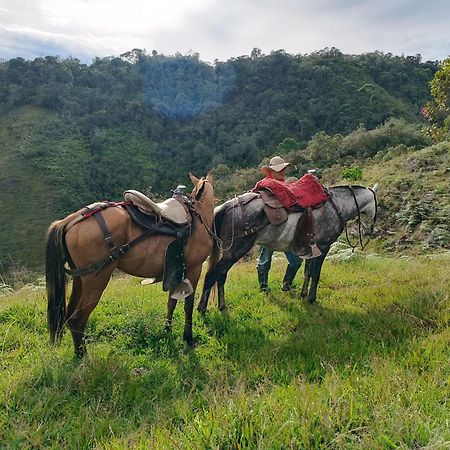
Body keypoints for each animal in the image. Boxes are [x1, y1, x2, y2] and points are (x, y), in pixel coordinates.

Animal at [46, 174, 214, 356]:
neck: (198, 215)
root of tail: (70, 221)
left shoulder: (175, 271)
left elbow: (171, 302)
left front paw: (167, 330)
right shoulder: (194, 269)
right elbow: (188, 305)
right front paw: (188, 338)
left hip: (80, 280)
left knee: (70, 315)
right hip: (96, 281)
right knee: (78, 319)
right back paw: (82, 355)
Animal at [199, 184, 378, 312]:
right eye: (377, 205)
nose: (370, 230)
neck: (337, 206)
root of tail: (225, 207)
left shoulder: (312, 249)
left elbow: (307, 272)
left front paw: (303, 295)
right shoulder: (324, 248)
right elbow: (316, 274)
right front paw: (312, 298)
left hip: (230, 252)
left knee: (221, 275)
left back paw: (222, 306)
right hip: (235, 251)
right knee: (212, 275)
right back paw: (202, 309)